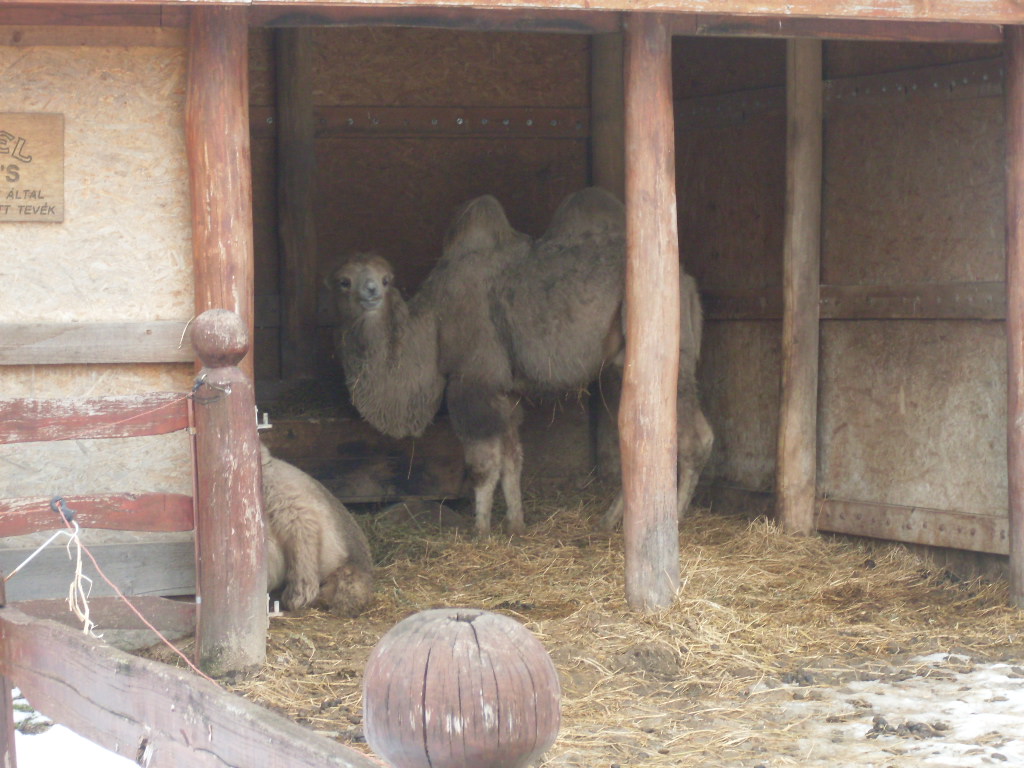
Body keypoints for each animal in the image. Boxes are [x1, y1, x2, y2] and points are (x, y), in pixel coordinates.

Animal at [326, 187, 713, 535]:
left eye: (386, 279)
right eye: (343, 281)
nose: (371, 292)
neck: (433, 323)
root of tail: (687, 281)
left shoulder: (474, 381)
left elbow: (483, 464)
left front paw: (480, 531)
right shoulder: (506, 390)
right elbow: (512, 459)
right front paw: (515, 524)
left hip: (668, 352)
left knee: (689, 438)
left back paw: (674, 520)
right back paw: (609, 521)